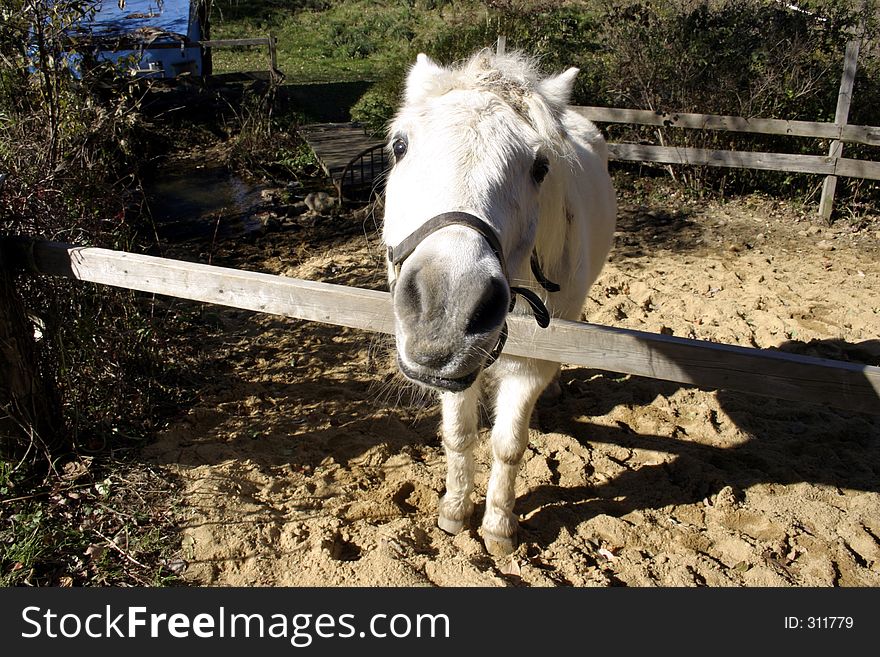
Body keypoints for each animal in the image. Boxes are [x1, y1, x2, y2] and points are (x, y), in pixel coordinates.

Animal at [382, 50, 616, 552]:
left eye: (541, 166)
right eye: (399, 146)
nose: (445, 310)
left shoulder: (529, 367)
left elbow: (508, 448)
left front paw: (498, 526)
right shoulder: (456, 376)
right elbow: (459, 435)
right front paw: (454, 511)